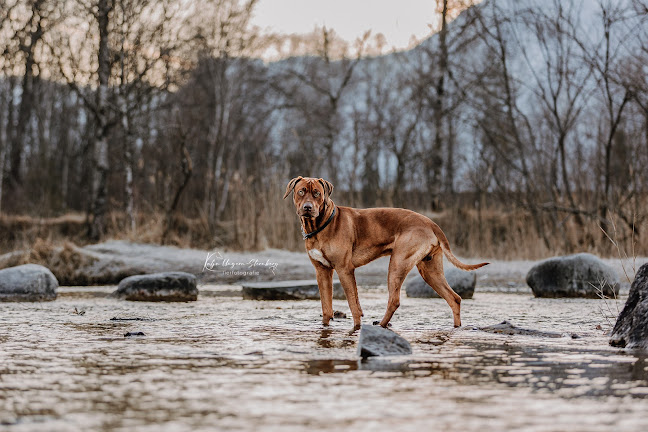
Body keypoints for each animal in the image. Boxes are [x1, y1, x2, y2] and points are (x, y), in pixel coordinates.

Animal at [282, 176, 486, 330]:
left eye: (317, 193)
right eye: (301, 191)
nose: (308, 207)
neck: (320, 225)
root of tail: (431, 223)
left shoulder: (344, 269)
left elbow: (354, 305)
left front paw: (356, 329)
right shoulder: (322, 271)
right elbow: (326, 307)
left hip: (397, 263)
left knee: (394, 300)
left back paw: (380, 325)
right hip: (430, 270)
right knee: (454, 298)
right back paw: (456, 328)